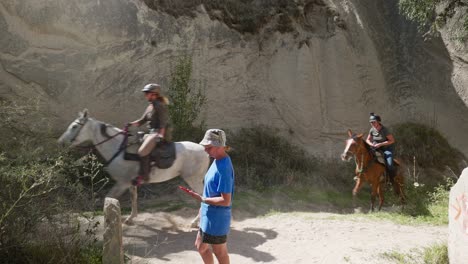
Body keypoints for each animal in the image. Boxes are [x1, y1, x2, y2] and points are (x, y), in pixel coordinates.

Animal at [56, 109, 208, 225]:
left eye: (74, 126)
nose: (60, 142)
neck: (120, 150)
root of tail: (203, 148)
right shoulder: (130, 183)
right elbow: (133, 198)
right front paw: (130, 218)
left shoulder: (122, 183)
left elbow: (109, 198)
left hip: (193, 180)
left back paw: (195, 222)